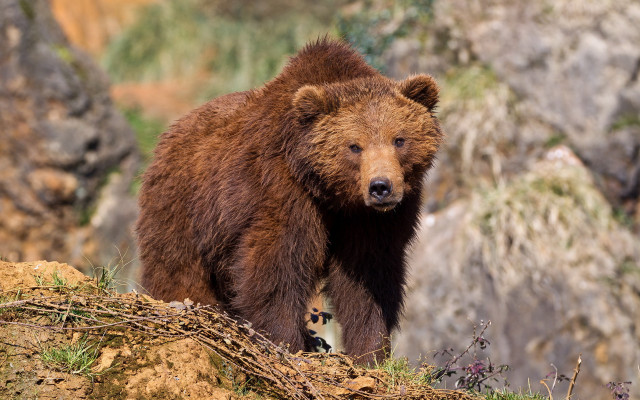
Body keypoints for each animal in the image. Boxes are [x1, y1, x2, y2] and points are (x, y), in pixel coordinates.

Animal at [136, 38, 443, 364]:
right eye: (354, 146)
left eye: (399, 140)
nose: (381, 187)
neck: (333, 195)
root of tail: (169, 133)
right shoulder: (282, 190)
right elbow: (277, 267)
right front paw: (286, 342)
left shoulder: (374, 220)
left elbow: (368, 279)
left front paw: (370, 352)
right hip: (184, 204)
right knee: (177, 264)